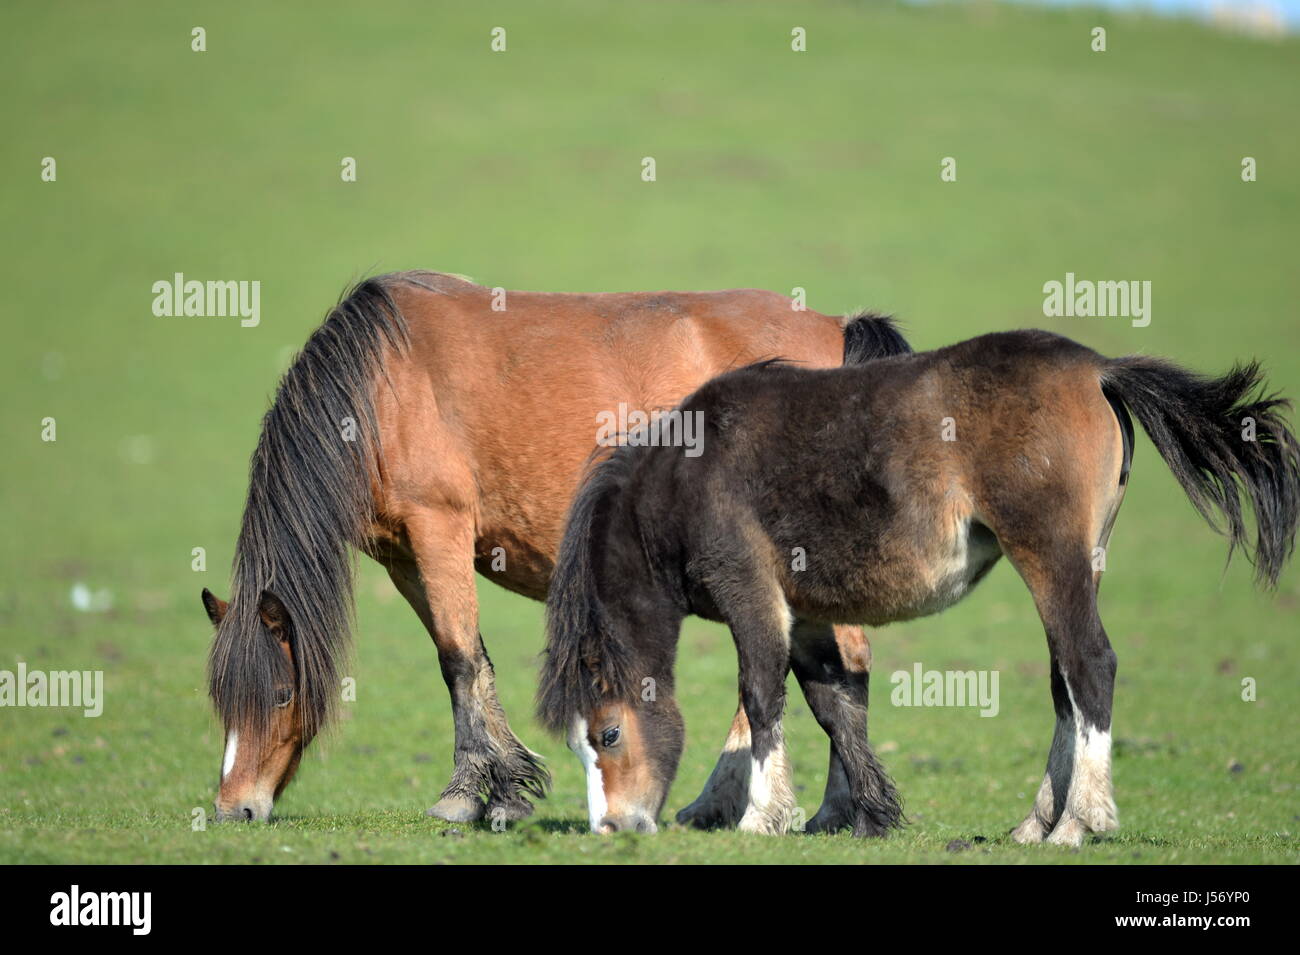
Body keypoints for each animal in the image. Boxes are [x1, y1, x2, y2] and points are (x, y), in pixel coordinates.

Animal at [205, 267, 915, 821]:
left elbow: (458, 661)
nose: (235, 808)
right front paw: (503, 788)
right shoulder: (406, 554)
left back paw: (786, 807)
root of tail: (835, 328)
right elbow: (466, 655)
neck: (381, 386)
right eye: (219, 700)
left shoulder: (438, 526)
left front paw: (465, 794)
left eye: (280, 695)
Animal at [538, 332, 1300, 841]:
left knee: (1091, 666)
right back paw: (1034, 824)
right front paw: (869, 814)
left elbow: (761, 694)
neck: (685, 472)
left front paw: (762, 816)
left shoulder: (749, 591)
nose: (615, 828)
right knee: (1065, 683)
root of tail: (1099, 369)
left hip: (1049, 557)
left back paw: (1077, 823)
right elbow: (834, 703)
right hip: (1080, 564)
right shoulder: (806, 612)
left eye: (608, 734)